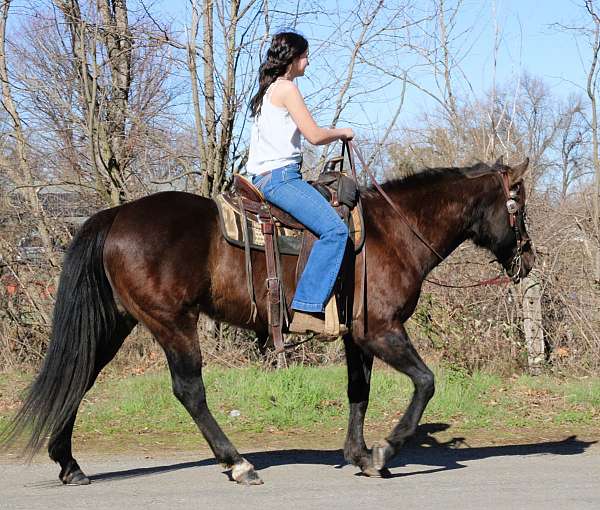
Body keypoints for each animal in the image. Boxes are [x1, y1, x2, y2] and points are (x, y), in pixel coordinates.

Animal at [1, 157, 536, 484]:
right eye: (519, 204)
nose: (528, 260)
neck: (391, 234)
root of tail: (115, 215)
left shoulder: (356, 338)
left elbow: (358, 393)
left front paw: (359, 454)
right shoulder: (381, 330)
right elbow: (425, 382)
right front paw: (386, 451)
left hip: (118, 322)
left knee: (81, 375)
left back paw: (69, 463)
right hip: (172, 322)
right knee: (189, 391)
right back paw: (237, 463)